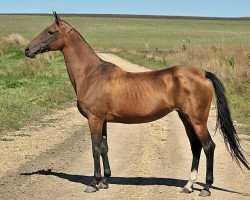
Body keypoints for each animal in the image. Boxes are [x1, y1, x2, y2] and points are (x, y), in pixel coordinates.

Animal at [24, 12, 248, 197]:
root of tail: (201, 72)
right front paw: (105, 180)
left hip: (197, 119)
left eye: (50, 31)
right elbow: (104, 147)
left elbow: (95, 148)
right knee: (196, 147)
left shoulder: (94, 119)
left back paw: (206, 188)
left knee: (208, 146)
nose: (27, 49)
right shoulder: (103, 121)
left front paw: (94, 183)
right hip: (186, 118)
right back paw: (188, 186)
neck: (91, 74)